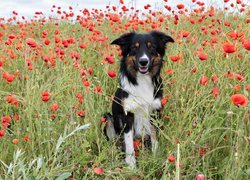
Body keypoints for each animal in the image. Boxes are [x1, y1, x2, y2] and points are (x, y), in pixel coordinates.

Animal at [103, 30, 174, 169]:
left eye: (151, 47)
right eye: (134, 48)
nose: (143, 62)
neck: (142, 80)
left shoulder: (154, 112)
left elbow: (154, 137)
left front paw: (155, 156)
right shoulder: (127, 115)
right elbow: (129, 144)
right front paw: (131, 166)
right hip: (108, 119)